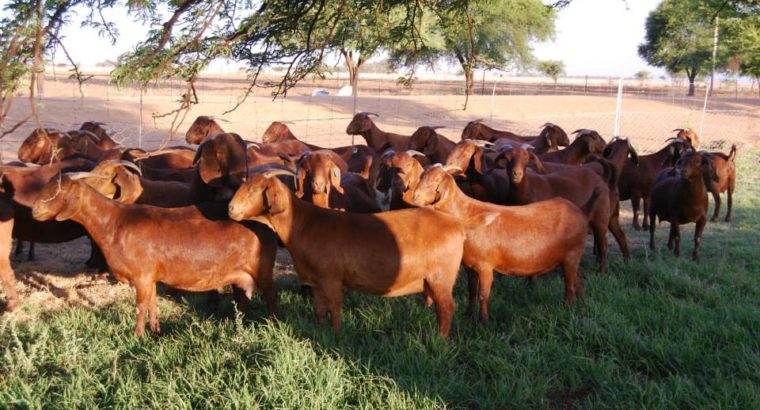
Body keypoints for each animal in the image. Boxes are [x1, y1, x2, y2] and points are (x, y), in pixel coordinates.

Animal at [32, 175, 279, 335]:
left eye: (58, 192)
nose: (35, 210)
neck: (115, 222)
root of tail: (265, 224)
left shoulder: (141, 275)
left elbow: (141, 306)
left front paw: (138, 336)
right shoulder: (150, 277)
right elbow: (152, 303)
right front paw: (155, 331)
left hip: (263, 270)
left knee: (270, 295)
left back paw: (273, 323)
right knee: (243, 299)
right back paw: (241, 326)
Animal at [228, 171, 465, 337]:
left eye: (254, 191)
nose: (230, 208)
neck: (304, 224)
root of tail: (456, 225)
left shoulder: (332, 279)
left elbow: (335, 308)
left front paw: (336, 336)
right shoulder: (316, 281)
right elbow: (319, 310)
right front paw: (320, 332)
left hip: (441, 278)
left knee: (448, 308)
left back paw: (441, 340)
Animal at [412, 165, 589, 321]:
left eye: (436, 180)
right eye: (421, 177)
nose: (415, 197)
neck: (467, 215)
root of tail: (578, 211)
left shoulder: (485, 265)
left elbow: (483, 294)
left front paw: (483, 321)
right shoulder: (470, 266)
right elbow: (472, 291)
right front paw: (468, 315)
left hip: (572, 255)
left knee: (569, 284)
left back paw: (567, 307)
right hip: (571, 257)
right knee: (578, 277)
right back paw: (581, 302)